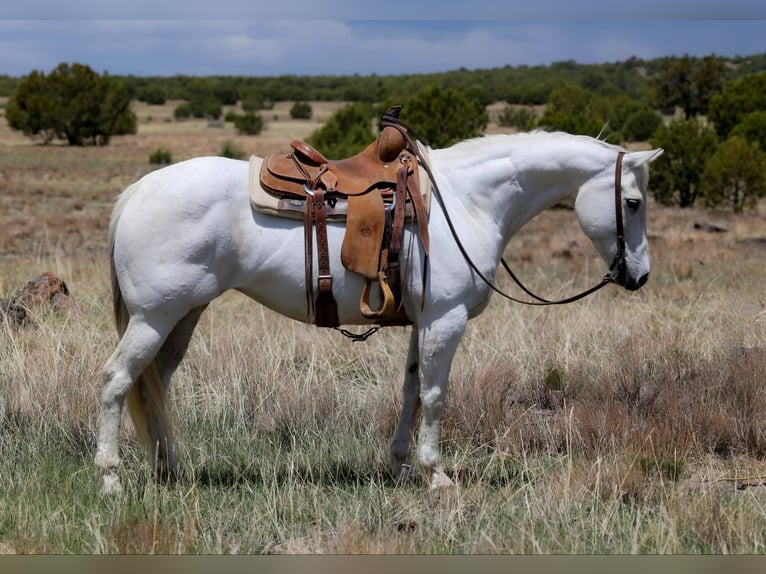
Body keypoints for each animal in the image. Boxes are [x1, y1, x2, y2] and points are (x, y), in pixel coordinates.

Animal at [94, 131, 663, 493]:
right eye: (633, 202)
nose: (638, 276)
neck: (467, 202)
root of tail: (137, 190)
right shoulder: (446, 320)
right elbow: (435, 395)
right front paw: (437, 475)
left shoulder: (423, 322)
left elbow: (411, 390)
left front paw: (401, 465)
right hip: (155, 317)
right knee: (117, 381)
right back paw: (110, 477)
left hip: (183, 315)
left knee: (155, 382)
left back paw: (169, 470)